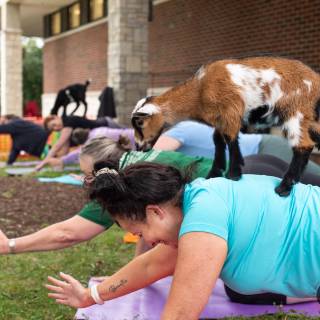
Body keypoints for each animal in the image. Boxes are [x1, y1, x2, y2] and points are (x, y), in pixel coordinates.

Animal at [131, 57, 320, 198]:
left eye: (140, 123)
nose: (139, 147)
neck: (199, 91)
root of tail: (315, 80)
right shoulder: (220, 120)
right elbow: (218, 141)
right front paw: (216, 172)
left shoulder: (230, 111)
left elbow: (230, 140)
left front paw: (233, 175)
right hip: (311, 119)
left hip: (295, 110)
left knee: (303, 146)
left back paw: (284, 188)